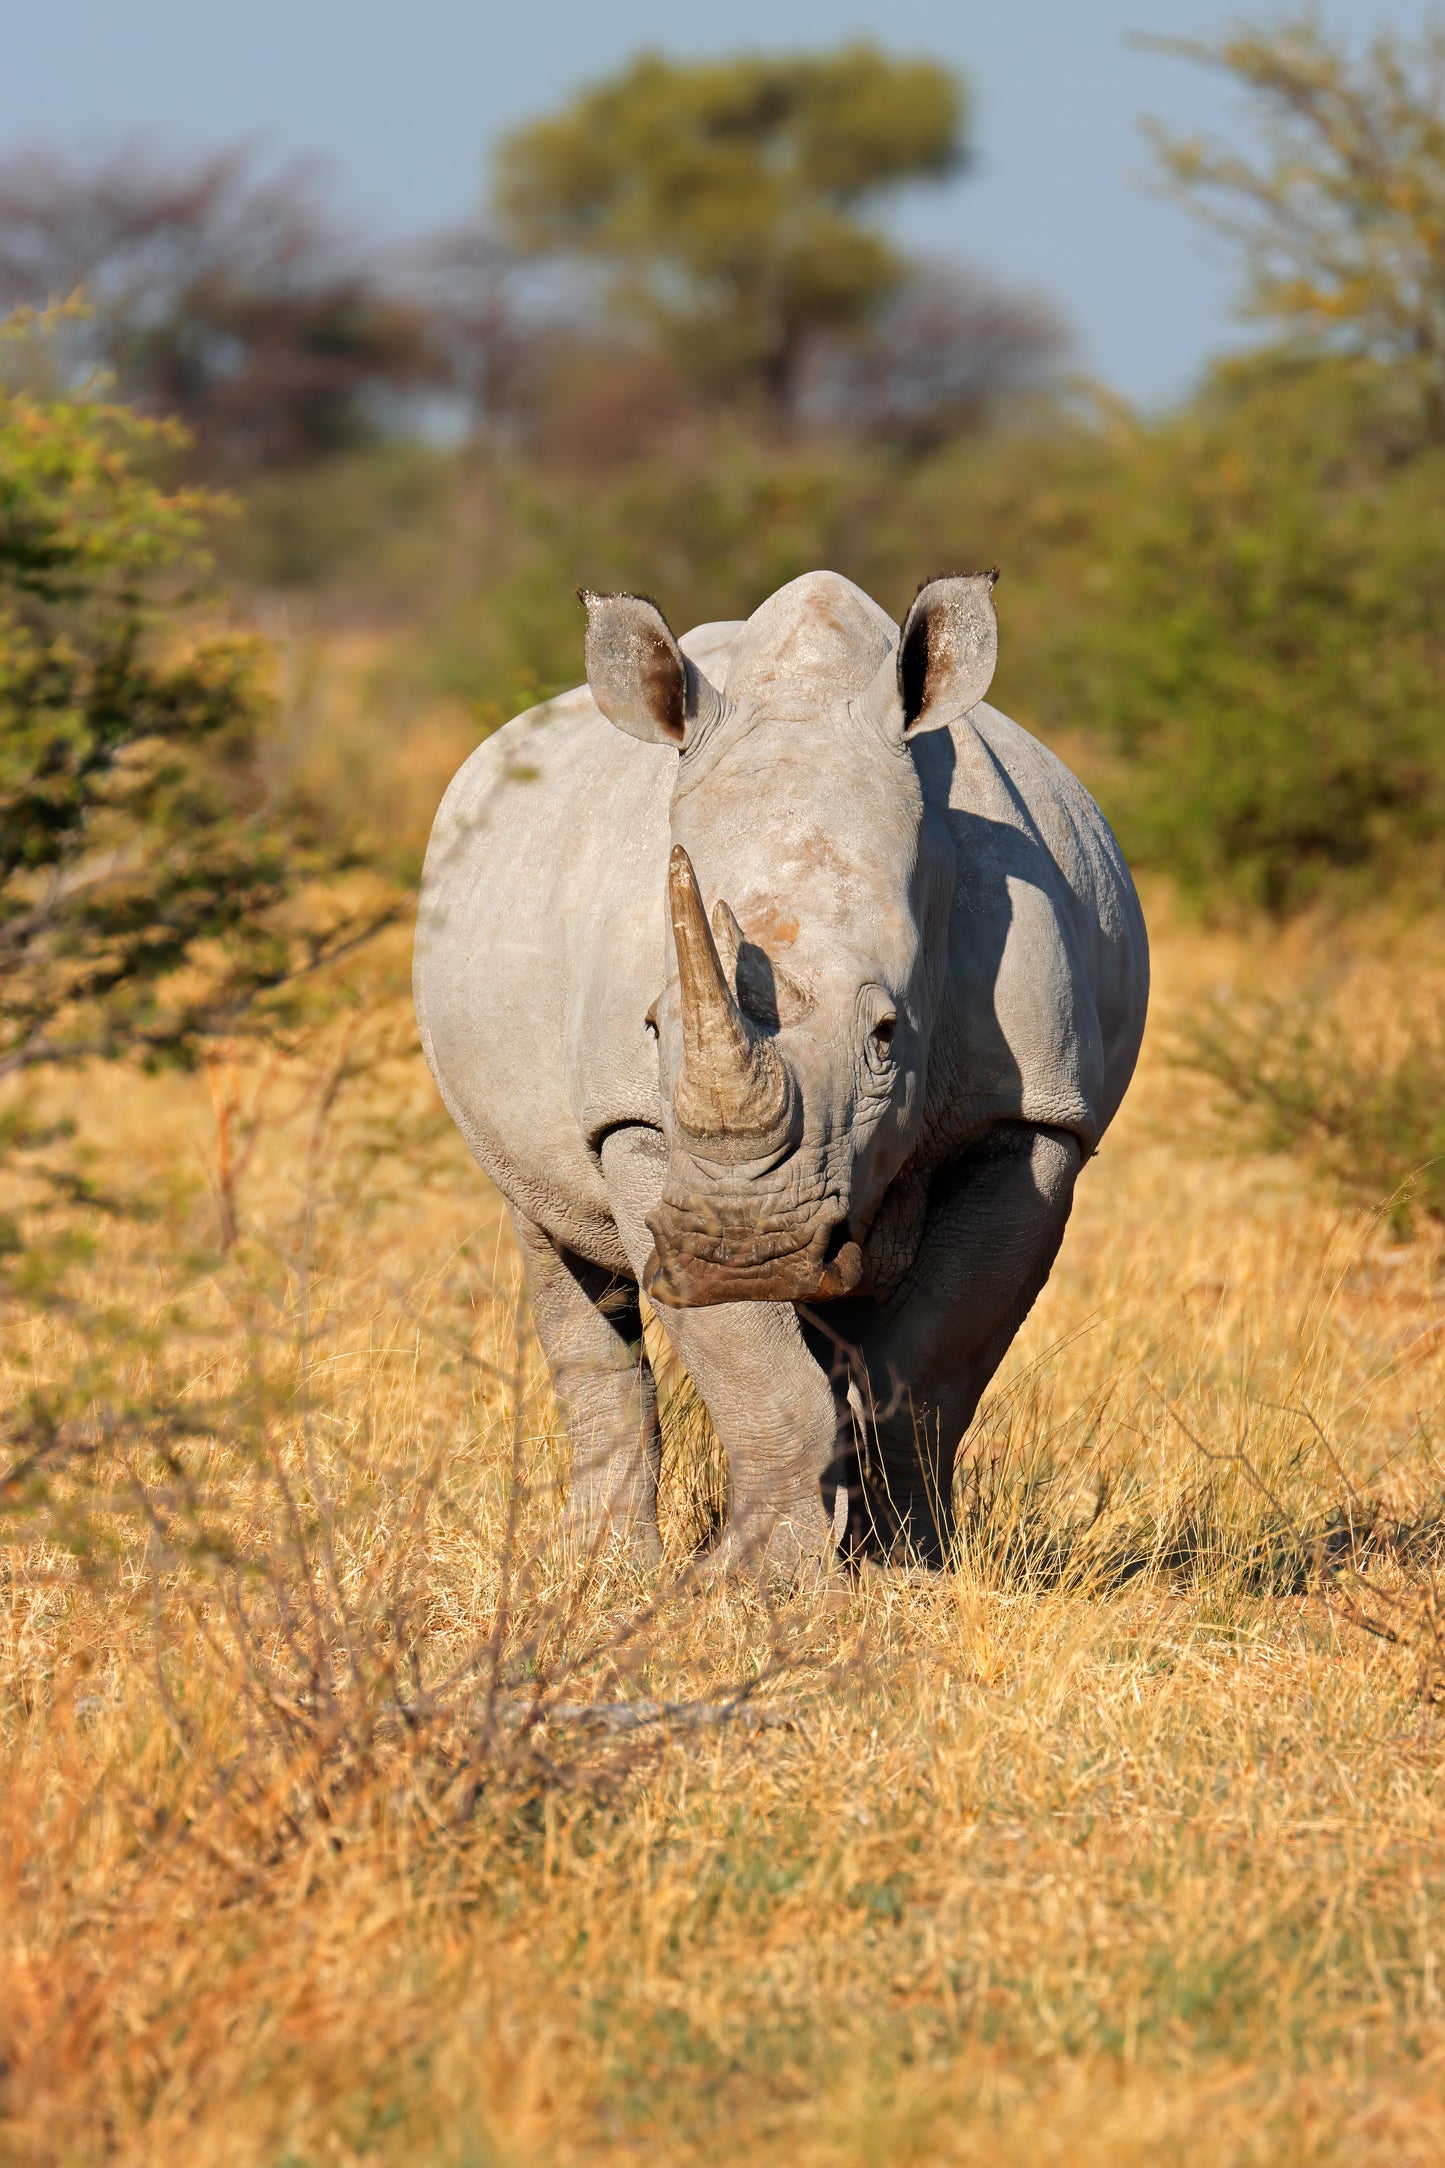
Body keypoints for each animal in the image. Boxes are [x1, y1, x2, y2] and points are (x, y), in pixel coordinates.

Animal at [415, 570, 1148, 1575]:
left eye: (887, 1035)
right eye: (652, 1027)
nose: (744, 1250)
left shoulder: (1029, 1117)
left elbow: (926, 1369)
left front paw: (907, 1572)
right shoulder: (639, 1131)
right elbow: (753, 1371)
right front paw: (761, 1583)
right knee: (554, 1241)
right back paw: (605, 1570)